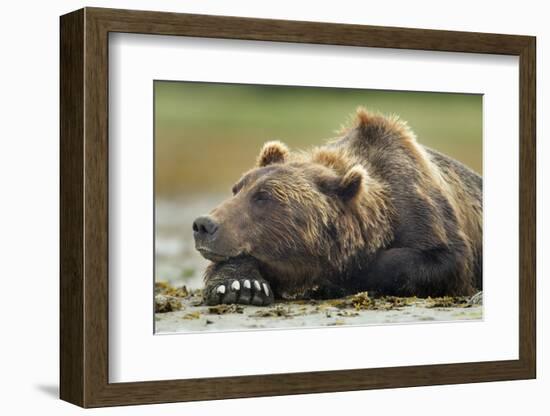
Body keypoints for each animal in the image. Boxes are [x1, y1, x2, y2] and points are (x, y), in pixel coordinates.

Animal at [193, 108, 484, 306]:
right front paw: (242, 285)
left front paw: (338, 279)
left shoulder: (422, 210)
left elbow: (443, 260)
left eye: (263, 197)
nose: (203, 225)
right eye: (237, 189)